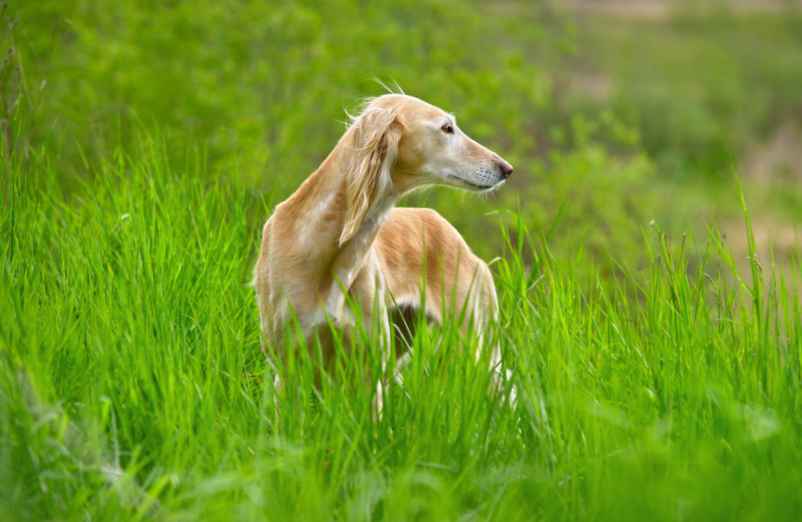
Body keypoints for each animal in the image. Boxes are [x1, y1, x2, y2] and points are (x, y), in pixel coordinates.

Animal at [252, 92, 512, 402]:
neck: (322, 246)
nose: (506, 169)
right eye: (446, 127)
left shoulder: (368, 370)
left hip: (474, 343)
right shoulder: (288, 366)